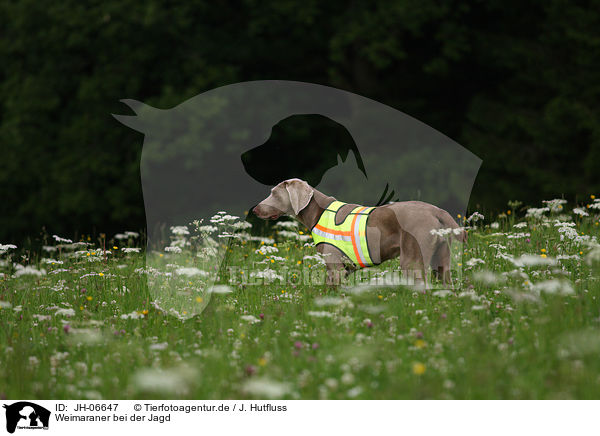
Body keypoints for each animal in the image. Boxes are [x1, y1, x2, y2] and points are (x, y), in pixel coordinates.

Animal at [252, 179, 464, 288]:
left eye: (274, 193)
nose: (254, 210)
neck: (319, 211)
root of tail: (438, 211)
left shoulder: (335, 267)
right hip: (441, 261)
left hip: (412, 260)